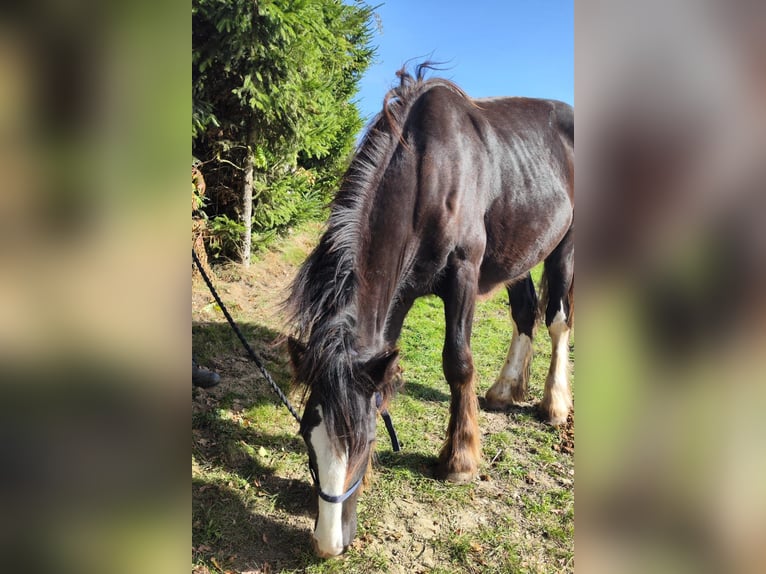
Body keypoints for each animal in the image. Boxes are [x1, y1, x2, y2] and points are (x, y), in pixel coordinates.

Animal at [286, 64, 574, 558]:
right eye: (308, 435)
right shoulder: (400, 292)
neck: (430, 170)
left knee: (557, 320)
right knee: (524, 314)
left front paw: (459, 461)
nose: (328, 542)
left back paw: (554, 404)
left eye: (365, 440)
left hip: (565, 244)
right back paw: (503, 390)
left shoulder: (463, 272)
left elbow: (457, 362)